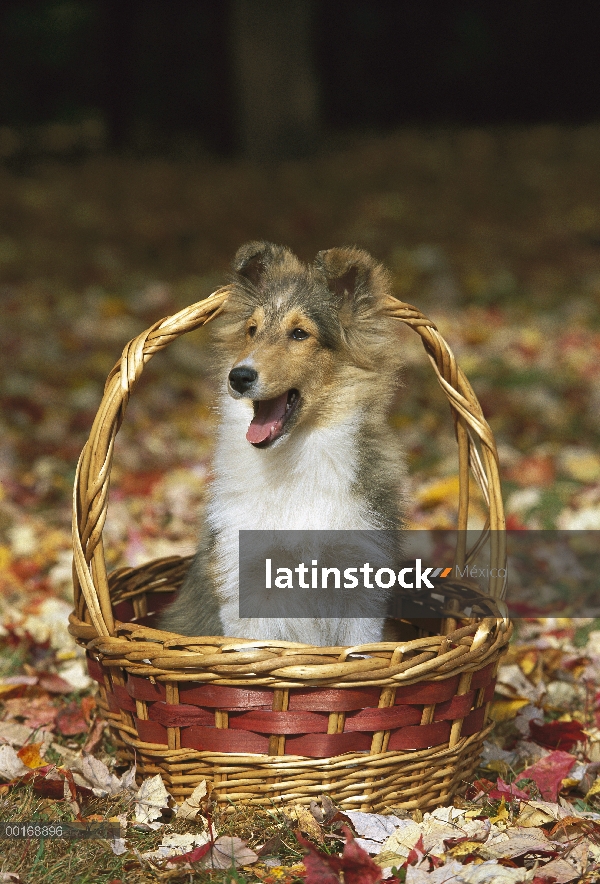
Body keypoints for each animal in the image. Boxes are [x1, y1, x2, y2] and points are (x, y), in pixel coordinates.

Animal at [159, 242, 406, 644]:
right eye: (252, 330)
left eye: (300, 334)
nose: (239, 376)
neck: (294, 458)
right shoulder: (244, 581)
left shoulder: (361, 584)